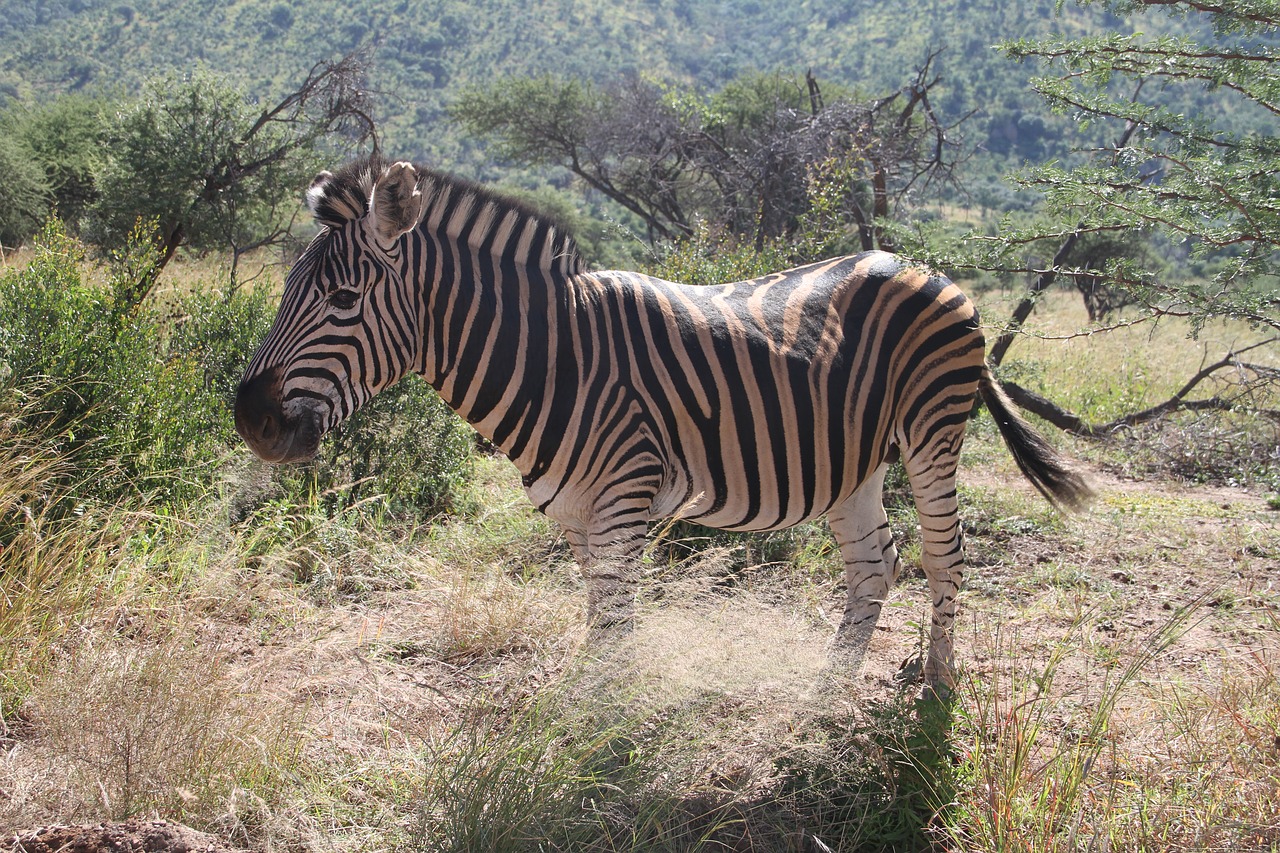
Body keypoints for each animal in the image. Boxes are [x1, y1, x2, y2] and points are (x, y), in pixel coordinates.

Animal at [238, 157, 1090, 686]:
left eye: (343, 300)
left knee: (945, 554)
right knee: (875, 562)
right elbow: (605, 618)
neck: (557, 357)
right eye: (285, 289)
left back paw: (937, 684)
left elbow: (611, 623)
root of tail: (922, 266)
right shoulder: (579, 515)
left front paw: (590, 736)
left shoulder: (626, 497)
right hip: (855, 456)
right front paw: (596, 721)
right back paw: (827, 692)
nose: (250, 419)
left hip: (932, 431)